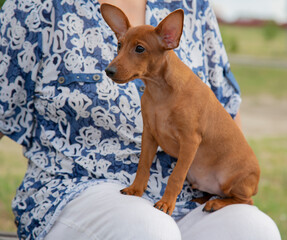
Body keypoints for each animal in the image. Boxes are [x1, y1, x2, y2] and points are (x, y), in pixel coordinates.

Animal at [101, 3, 260, 215]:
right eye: (119, 45)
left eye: (140, 48)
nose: (108, 71)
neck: (160, 92)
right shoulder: (149, 135)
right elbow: (143, 165)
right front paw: (135, 189)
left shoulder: (190, 142)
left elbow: (176, 176)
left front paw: (166, 203)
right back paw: (202, 199)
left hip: (233, 182)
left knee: (245, 201)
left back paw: (216, 203)